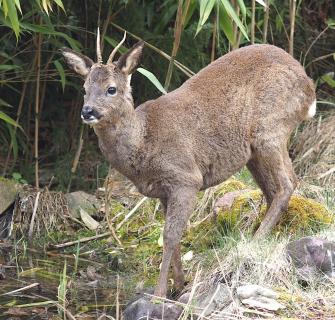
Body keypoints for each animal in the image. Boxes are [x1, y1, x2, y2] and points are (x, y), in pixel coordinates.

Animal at [61, 32, 316, 298]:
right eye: (84, 88)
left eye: (111, 89)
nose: (87, 111)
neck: (143, 142)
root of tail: (308, 86)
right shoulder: (163, 191)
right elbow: (171, 238)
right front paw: (179, 284)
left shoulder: (185, 178)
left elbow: (170, 236)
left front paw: (160, 293)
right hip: (255, 151)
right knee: (274, 189)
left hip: (270, 128)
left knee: (287, 183)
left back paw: (251, 244)